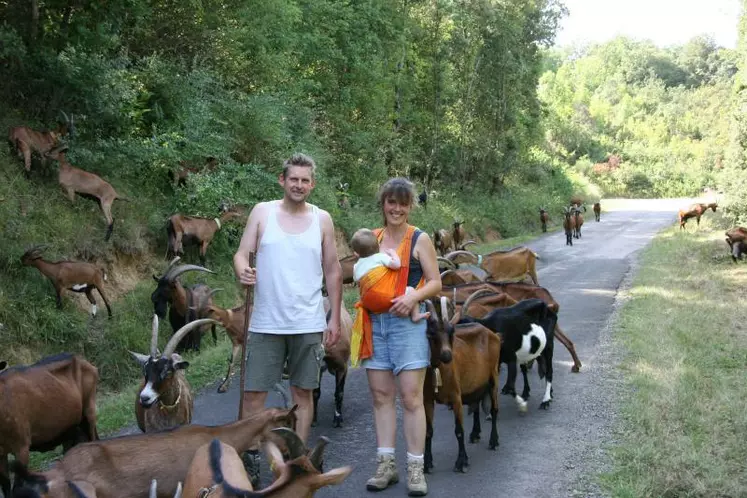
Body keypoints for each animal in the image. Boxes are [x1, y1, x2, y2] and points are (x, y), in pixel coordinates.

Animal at [424, 298, 500, 472]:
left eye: (451, 333)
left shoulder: (456, 398)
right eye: (431, 334)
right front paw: (427, 463)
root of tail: (493, 334)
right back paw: (475, 433)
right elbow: (428, 431)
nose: (447, 355)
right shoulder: (427, 400)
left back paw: (494, 441)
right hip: (477, 383)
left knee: (494, 409)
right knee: (476, 404)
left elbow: (459, 431)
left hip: (493, 375)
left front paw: (461, 462)